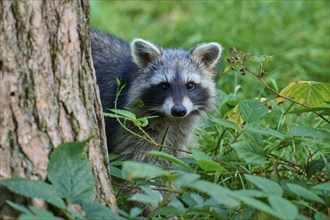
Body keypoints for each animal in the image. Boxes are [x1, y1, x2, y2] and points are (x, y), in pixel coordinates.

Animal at [90, 30, 222, 166]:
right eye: (164, 86)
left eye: (190, 85)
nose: (179, 110)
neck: (170, 119)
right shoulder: (131, 124)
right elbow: (141, 156)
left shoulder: (182, 127)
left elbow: (172, 152)